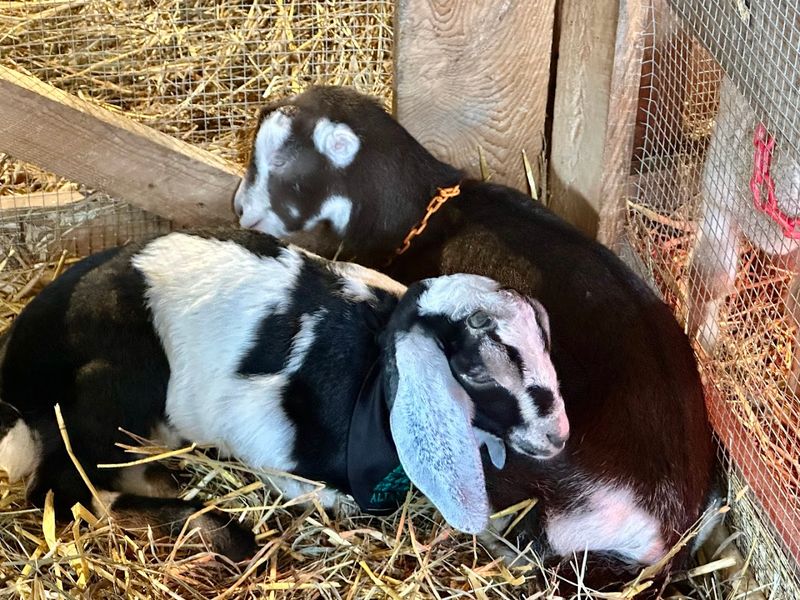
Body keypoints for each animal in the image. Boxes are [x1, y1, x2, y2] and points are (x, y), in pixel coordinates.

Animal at [0, 228, 568, 560]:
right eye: (475, 372)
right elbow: (315, 493)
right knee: (64, 490)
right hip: (108, 394)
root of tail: (18, 366)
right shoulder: (260, 439)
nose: (557, 435)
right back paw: (218, 530)